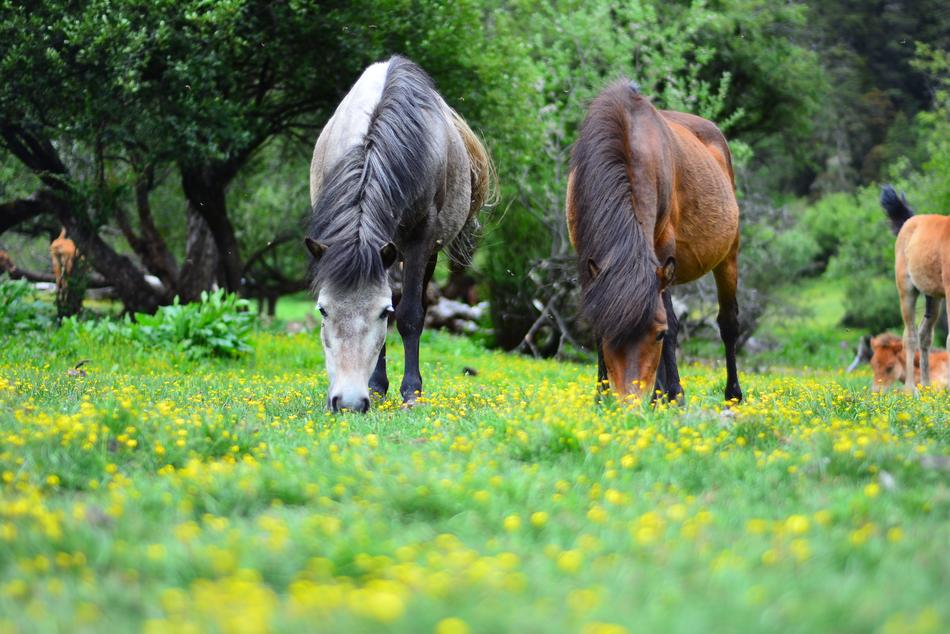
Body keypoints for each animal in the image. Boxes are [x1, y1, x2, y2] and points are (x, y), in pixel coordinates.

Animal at [305, 55, 492, 413]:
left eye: (380, 312)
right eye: (323, 309)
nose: (348, 402)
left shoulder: (421, 240)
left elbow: (407, 316)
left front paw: (411, 392)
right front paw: (378, 386)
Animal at [567, 80, 742, 404]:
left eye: (657, 334)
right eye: (607, 331)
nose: (629, 400)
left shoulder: (662, 251)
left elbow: (672, 322)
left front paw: (673, 394)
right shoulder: (586, 258)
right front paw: (601, 393)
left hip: (728, 257)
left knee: (728, 323)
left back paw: (732, 394)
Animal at [881, 184, 950, 390]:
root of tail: (909, 221)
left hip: (933, 296)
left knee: (924, 335)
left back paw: (927, 386)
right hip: (907, 291)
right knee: (910, 336)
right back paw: (911, 389)